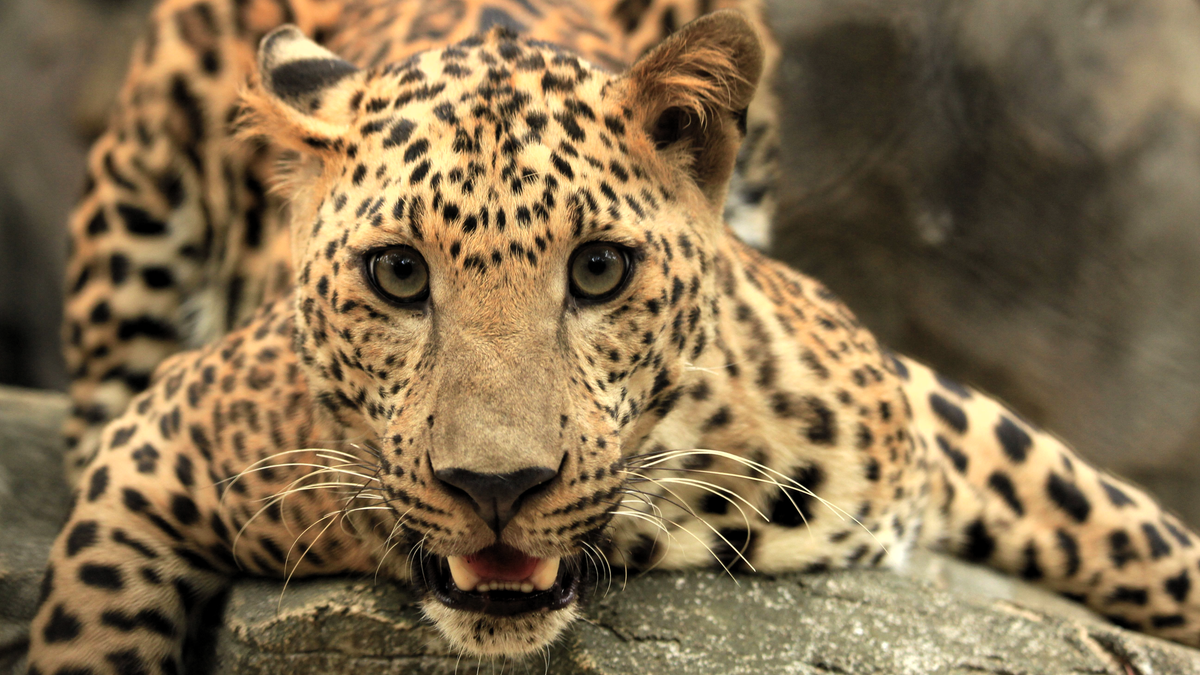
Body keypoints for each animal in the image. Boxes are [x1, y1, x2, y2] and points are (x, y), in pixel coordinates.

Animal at [30, 0, 1200, 672]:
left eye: (598, 270)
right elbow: (83, 626)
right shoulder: (161, 444)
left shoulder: (911, 411)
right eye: (398, 274)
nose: (495, 487)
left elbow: (1124, 528)